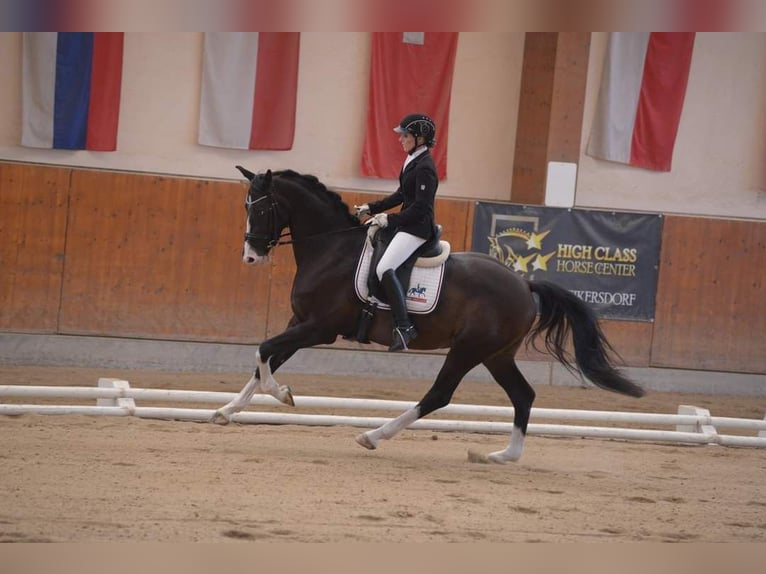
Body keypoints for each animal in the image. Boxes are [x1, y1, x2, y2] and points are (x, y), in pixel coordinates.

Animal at [212, 166, 648, 464]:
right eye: (246, 206)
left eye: (262, 208)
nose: (251, 256)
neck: (330, 250)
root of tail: (525, 285)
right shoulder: (298, 323)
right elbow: (264, 359)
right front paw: (226, 411)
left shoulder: (319, 328)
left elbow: (263, 351)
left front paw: (282, 394)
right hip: (496, 354)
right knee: (523, 395)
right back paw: (501, 456)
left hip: (469, 349)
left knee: (440, 394)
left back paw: (374, 435)